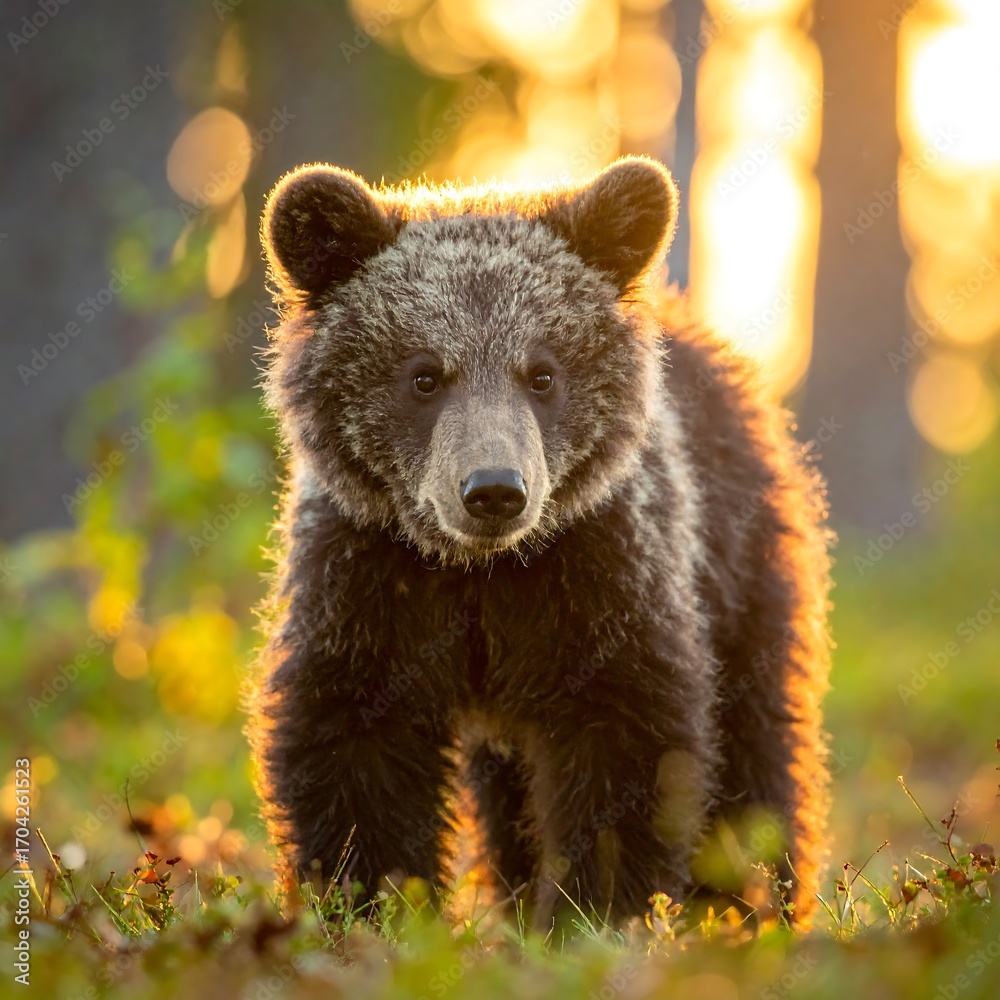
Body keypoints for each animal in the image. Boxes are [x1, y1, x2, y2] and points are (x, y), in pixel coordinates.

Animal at [248, 155, 832, 929]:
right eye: (424, 374)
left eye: (542, 372)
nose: (494, 489)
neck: (480, 572)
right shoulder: (370, 579)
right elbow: (355, 741)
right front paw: (370, 904)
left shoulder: (594, 574)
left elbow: (624, 738)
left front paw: (596, 911)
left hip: (736, 558)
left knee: (757, 739)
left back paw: (748, 905)